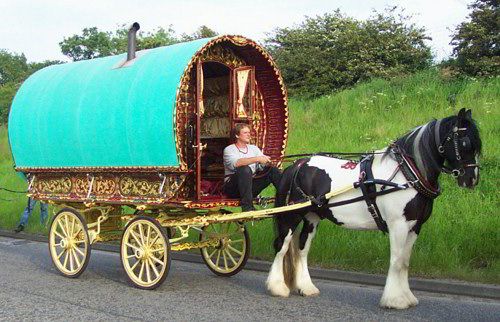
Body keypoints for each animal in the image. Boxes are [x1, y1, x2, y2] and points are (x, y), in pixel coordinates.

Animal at [268, 109, 482, 310]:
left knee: (302, 249)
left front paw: (407, 298)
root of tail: (297, 165)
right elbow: (397, 261)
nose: (471, 179)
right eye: (464, 143)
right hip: (291, 215)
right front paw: (394, 300)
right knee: (282, 246)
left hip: (312, 217)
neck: (407, 175)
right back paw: (277, 287)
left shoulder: (415, 226)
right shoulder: (398, 225)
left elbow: (405, 262)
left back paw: (306, 288)